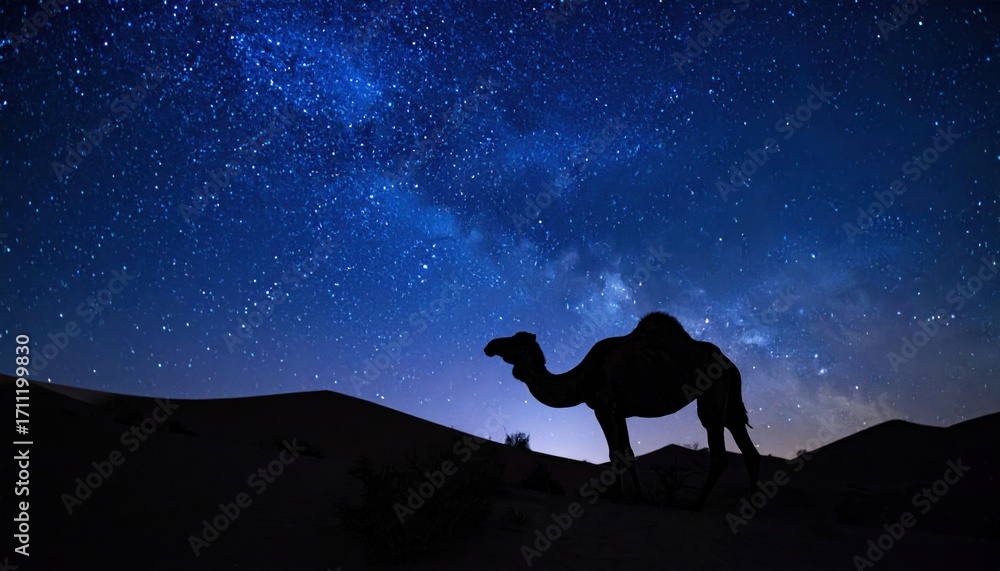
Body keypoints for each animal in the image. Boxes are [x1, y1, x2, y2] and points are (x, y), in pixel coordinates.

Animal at [484, 311, 761, 510]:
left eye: (515, 340)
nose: (490, 345)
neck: (583, 377)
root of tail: (730, 363)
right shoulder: (620, 411)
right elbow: (628, 452)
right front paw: (640, 498)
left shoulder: (603, 406)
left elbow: (614, 452)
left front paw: (619, 498)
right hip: (729, 404)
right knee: (748, 448)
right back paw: (753, 506)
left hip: (711, 396)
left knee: (719, 451)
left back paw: (696, 505)